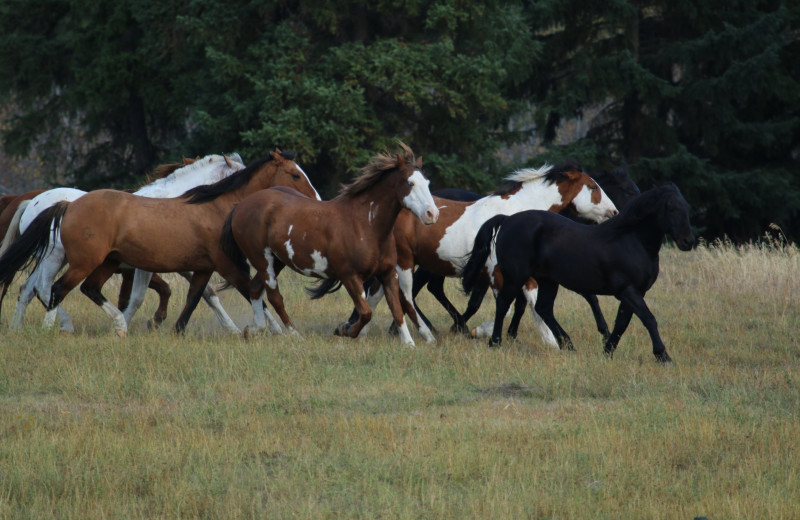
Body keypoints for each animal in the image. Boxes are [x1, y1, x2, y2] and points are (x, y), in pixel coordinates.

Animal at [0, 150, 318, 338]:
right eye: (295, 174)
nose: (315, 200)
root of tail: (59, 204)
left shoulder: (194, 265)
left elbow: (202, 296)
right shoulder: (216, 263)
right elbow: (249, 292)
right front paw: (275, 329)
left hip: (82, 261)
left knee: (33, 289)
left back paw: (21, 327)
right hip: (63, 259)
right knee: (48, 288)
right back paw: (59, 326)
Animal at [219, 142, 440, 346]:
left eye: (428, 182)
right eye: (410, 183)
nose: (432, 214)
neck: (364, 224)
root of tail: (241, 206)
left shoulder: (388, 274)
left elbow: (397, 308)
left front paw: (409, 343)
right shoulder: (350, 276)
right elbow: (366, 312)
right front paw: (344, 330)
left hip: (277, 260)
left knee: (255, 288)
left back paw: (254, 329)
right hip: (262, 260)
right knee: (274, 296)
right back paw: (295, 334)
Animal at [338, 162, 620, 342]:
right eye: (593, 187)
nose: (614, 212)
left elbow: (524, 304)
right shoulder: (499, 273)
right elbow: (514, 305)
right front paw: (483, 332)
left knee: (380, 292)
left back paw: (362, 331)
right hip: (404, 263)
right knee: (398, 293)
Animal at [462, 185, 692, 364]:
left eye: (687, 207)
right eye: (671, 208)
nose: (688, 241)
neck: (630, 240)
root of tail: (507, 220)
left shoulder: (635, 292)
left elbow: (622, 323)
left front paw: (607, 352)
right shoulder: (627, 290)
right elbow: (648, 319)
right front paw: (663, 356)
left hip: (547, 280)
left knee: (544, 308)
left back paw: (568, 345)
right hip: (515, 277)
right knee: (503, 305)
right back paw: (495, 343)